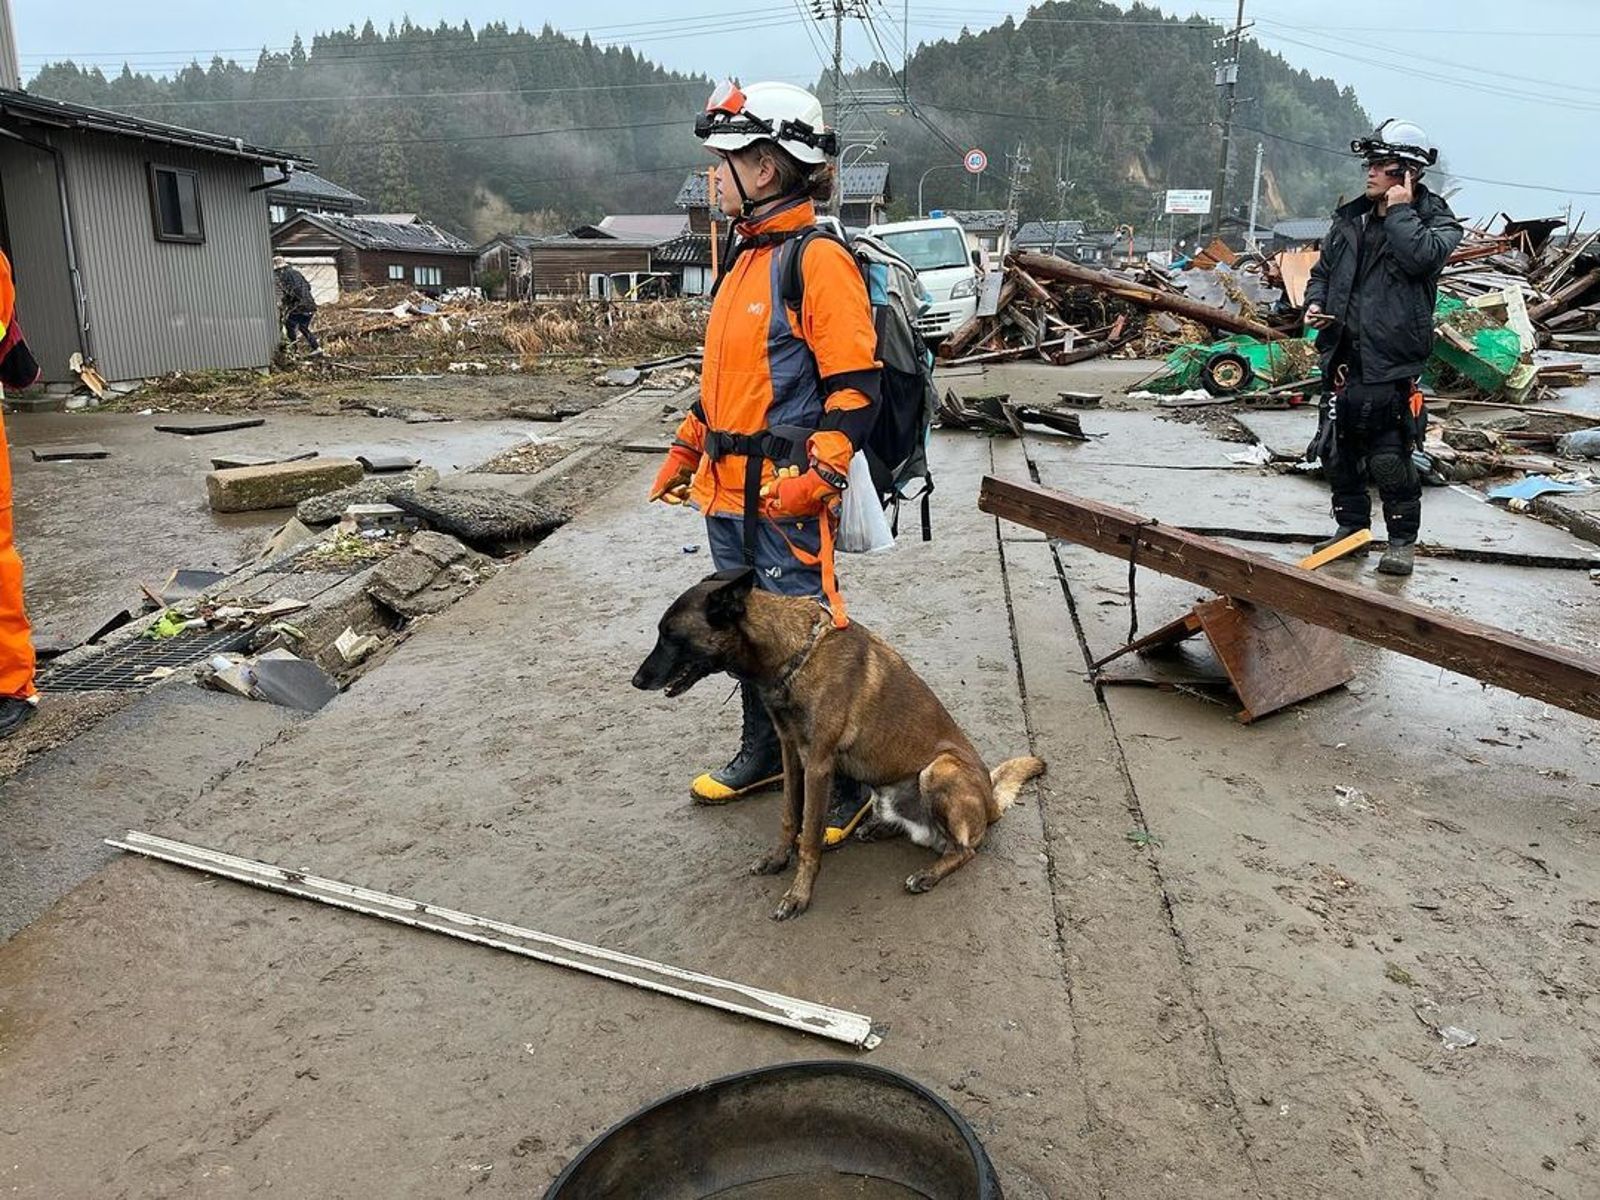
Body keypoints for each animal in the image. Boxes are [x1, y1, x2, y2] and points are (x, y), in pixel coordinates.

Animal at [630, 569, 1043, 921]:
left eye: (670, 635)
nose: (636, 681)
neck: (793, 651)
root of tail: (990, 801)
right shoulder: (791, 754)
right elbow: (788, 815)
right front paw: (778, 858)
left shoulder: (818, 763)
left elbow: (809, 836)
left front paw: (798, 894)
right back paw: (879, 828)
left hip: (939, 769)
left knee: (965, 849)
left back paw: (928, 873)